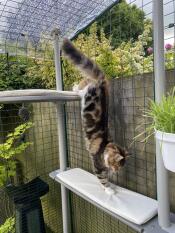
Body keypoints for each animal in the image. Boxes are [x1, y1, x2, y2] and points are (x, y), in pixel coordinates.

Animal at [62, 39, 128, 193]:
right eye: (117, 165)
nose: (117, 171)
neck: (105, 146)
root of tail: (102, 81)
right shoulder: (98, 166)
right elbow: (103, 179)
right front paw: (109, 190)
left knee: (85, 80)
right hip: (87, 94)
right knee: (81, 86)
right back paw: (73, 88)